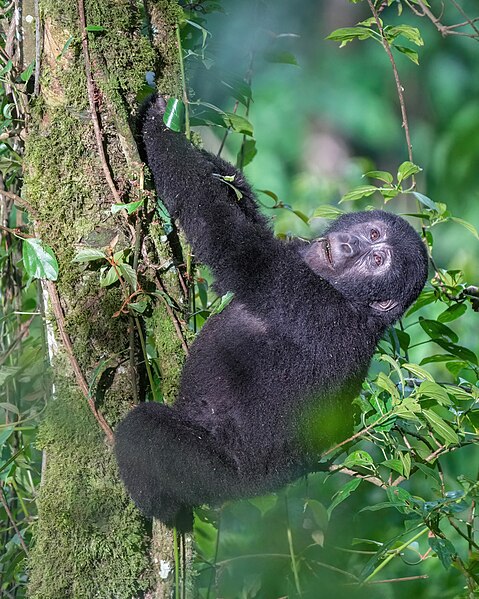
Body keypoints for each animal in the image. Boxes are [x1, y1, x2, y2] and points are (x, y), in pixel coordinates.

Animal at [114, 97, 430, 528]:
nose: (350, 246)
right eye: (373, 234)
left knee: (144, 432)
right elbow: (241, 209)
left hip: (220, 476)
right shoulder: (297, 254)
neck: (351, 298)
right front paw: (209, 157)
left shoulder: (304, 298)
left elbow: (228, 237)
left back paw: (160, 512)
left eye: (378, 261)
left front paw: (158, 125)